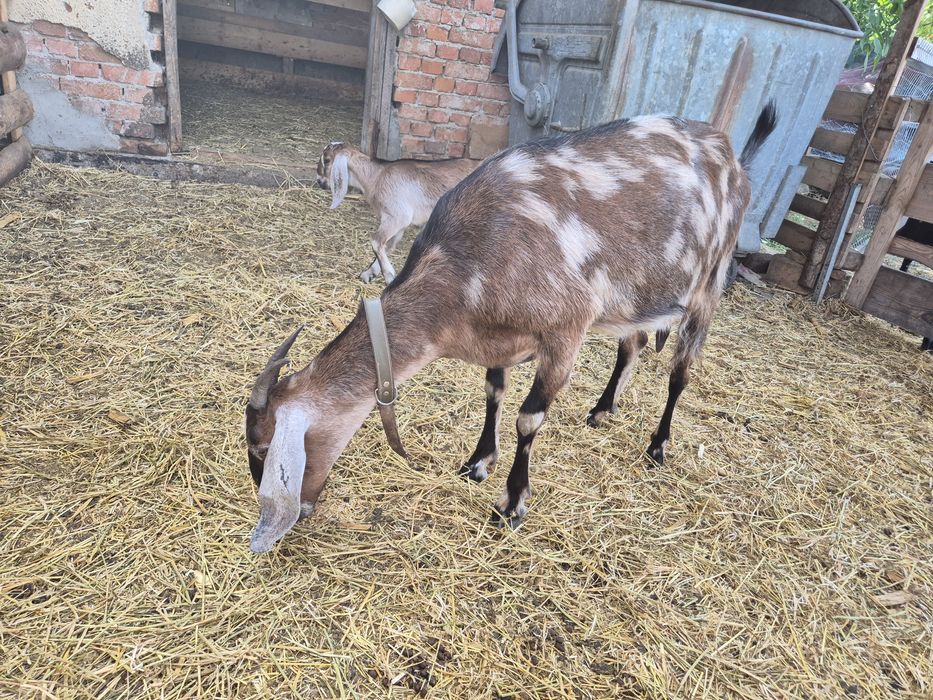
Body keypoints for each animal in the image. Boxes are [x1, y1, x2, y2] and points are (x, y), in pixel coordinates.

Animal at [316, 143, 478, 283]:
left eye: (327, 159)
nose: (319, 181)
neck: (375, 176)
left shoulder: (398, 216)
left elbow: (376, 241)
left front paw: (389, 275)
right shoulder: (396, 223)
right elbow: (387, 245)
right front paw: (369, 274)